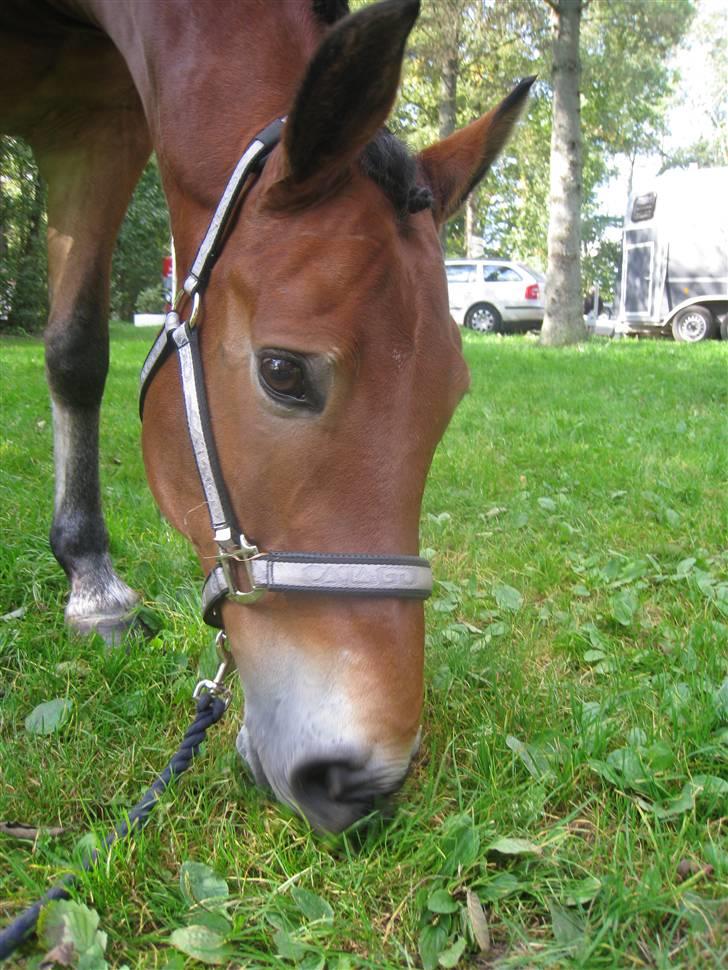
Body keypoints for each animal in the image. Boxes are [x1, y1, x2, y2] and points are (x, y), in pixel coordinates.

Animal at [0, 0, 533, 833]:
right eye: (282, 372)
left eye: (452, 393)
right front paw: (92, 586)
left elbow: (78, 346)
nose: (357, 780)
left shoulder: (101, 123)